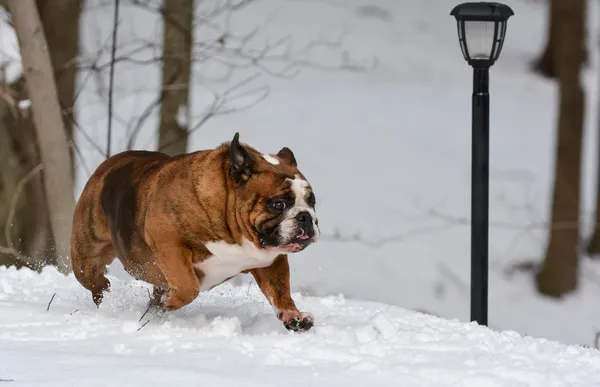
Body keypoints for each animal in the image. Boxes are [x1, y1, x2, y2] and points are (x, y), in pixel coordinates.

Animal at [69, 132, 318, 332]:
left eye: (312, 202)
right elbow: (189, 286)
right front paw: (171, 301)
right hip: (87, 258)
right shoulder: (169, 245)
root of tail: (105, 167)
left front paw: (294, 316)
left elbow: (280, 291)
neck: (233, 229)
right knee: (96, 283)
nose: (306, 217)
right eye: (278, 204)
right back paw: (109, 297)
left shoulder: (272, 262)